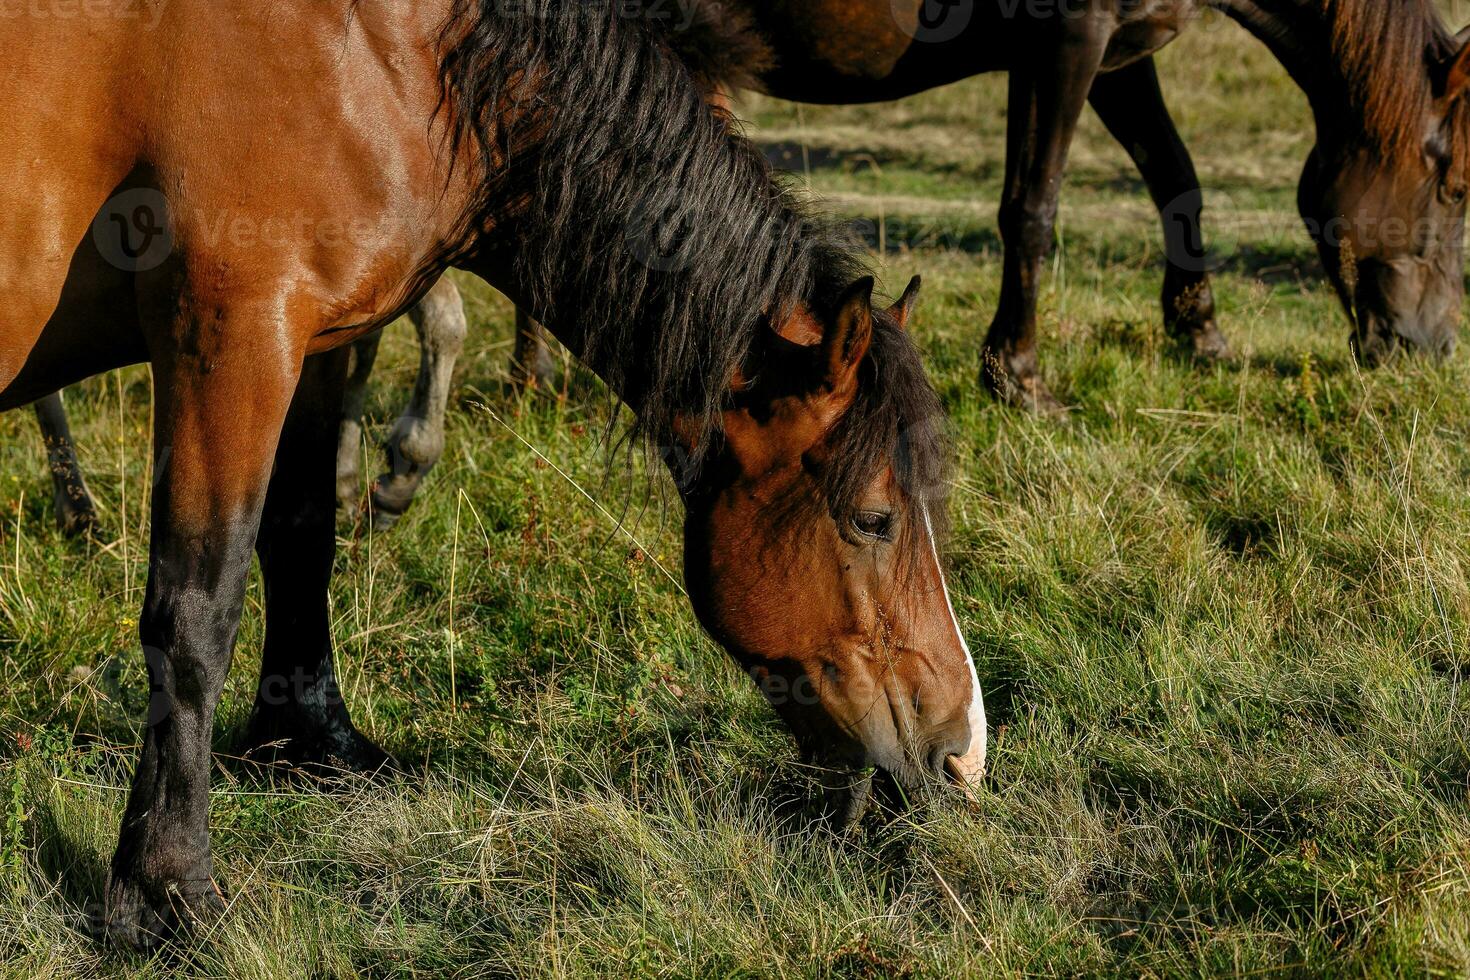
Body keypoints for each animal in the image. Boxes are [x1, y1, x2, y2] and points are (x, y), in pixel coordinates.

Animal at [2, 0, 987, 952]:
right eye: (873, 519)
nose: (964, 753)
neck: (380, 55)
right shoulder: (229, 334)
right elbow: (196, 613)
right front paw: (167, 894)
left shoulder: (313, 342)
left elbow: (302, 535)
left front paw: (311, 741)